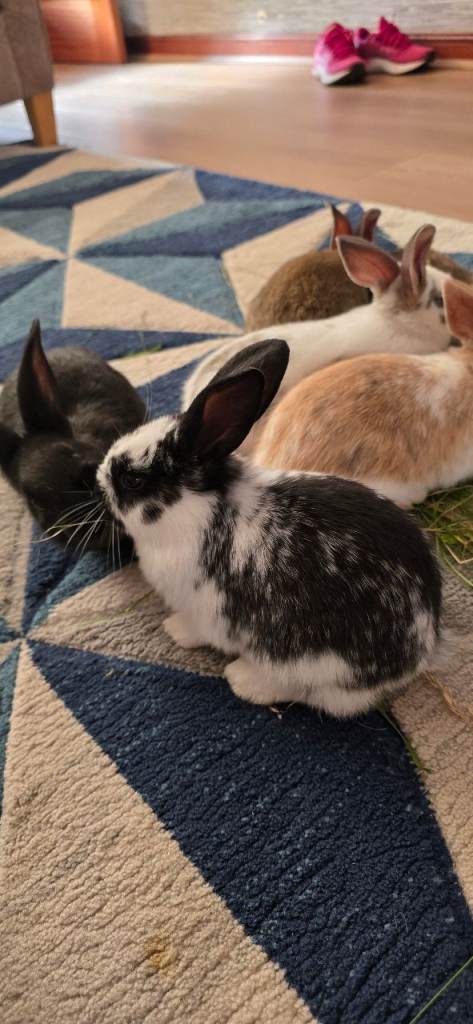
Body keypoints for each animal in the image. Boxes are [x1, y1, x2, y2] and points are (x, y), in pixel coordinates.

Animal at [97, 337, 443, 719]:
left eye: (133, 479)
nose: (100, 475)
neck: (199, 509)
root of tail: (417, 651)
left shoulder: (205, 610)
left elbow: (196, 628)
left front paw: (174, 630)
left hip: (310, 662)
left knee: (307, 692)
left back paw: (242, 680)